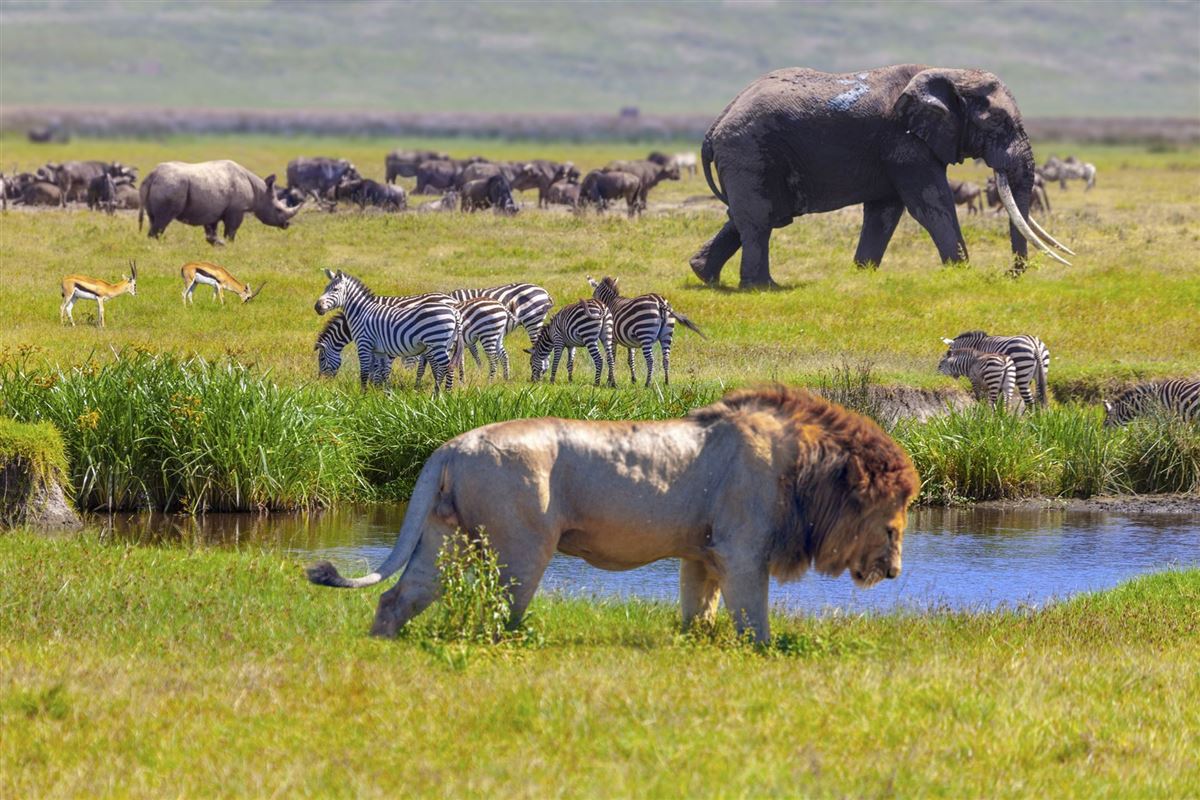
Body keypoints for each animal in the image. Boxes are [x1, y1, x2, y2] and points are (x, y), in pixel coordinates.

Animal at [139, 160, 302, 245]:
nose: (287, 224)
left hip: (163, 184)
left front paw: (218, 244)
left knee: (153, 219)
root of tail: (152, 175)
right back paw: (158, 245)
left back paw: (153, 244)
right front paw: (229, 244)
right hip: (171, 185)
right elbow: (231, 230)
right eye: (278, 210)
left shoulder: (212, 210)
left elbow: (211, 232)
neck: (260, 191)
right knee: (163, 220)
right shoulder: (237, 210)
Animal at [307, 387, 920, 642]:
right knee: (499, 615)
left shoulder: (703, 554)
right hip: (521, 547)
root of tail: (450, 446)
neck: (807, 469)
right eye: (894, 518)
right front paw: (762, 654)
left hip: (445, 537)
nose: (894, 572)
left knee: (398, 597)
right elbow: (754, 620)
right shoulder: (743, 550)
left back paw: (382, 643)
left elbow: (698, 611)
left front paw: (694, 646)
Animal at [313, 270, 461, 392]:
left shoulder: (365, 344)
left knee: (445, 367)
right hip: (444, 344)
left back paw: (443, 395)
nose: (317, 307)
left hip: (436, 343)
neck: (361, 312)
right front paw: (383, 393)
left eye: (321, 359)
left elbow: (368, 371)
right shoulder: (381, 347)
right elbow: (381, 371)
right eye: (325, 288)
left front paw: (366, 394)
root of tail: (452, 307)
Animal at [690, 65, 1074, 288]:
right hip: (748, 150)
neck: (948, 73)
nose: (1011, 274)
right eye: (998, 122)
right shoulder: (904, 141)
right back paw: (763, 288)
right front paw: (961, 273)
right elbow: (931, 204)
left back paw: (704, 275)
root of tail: (713, 128)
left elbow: (885, 211)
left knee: (751, 216)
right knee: (760, 219)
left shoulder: (896, 150)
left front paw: (862, 275)